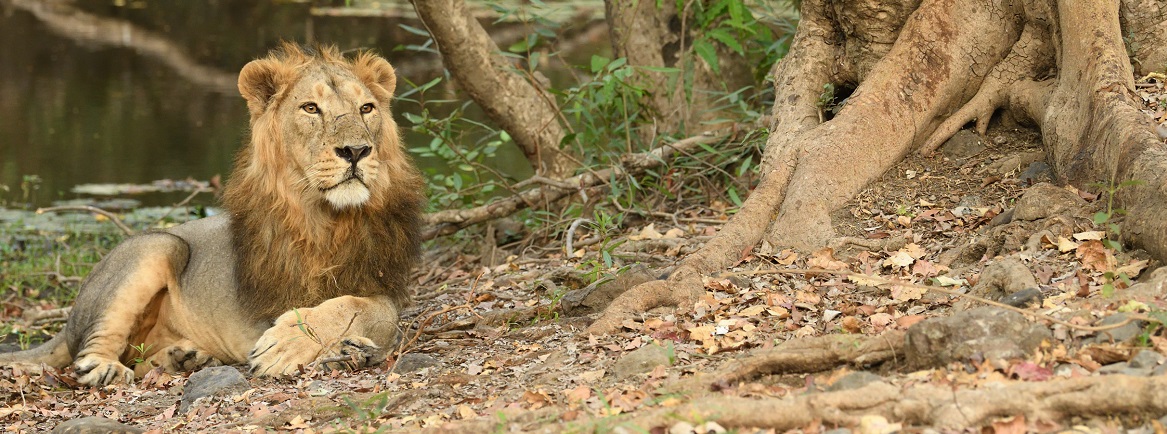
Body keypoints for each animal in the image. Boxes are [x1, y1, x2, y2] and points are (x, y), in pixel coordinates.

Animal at [0, 43, 424, 386]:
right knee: (89, 352)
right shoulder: (272, 299)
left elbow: (367, 309)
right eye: (310, 108)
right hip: (158, 246)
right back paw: (108, 367)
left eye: (366, 108)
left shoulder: (380, 282)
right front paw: (289, 345)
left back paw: (184, 359)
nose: (356, 151)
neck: (331, 219)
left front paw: (349, 347)